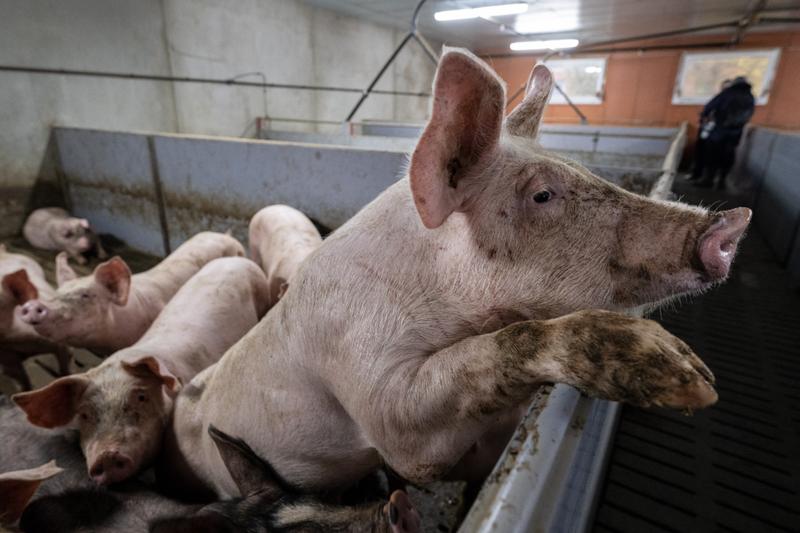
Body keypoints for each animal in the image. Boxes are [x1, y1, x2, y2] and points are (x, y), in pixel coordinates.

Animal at [162, 49, 750, 499]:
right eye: (542, 194)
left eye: (582, 169)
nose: (730, 224)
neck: (452, 309)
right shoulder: (367, 380)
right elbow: (425, 427)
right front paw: (690, 381)